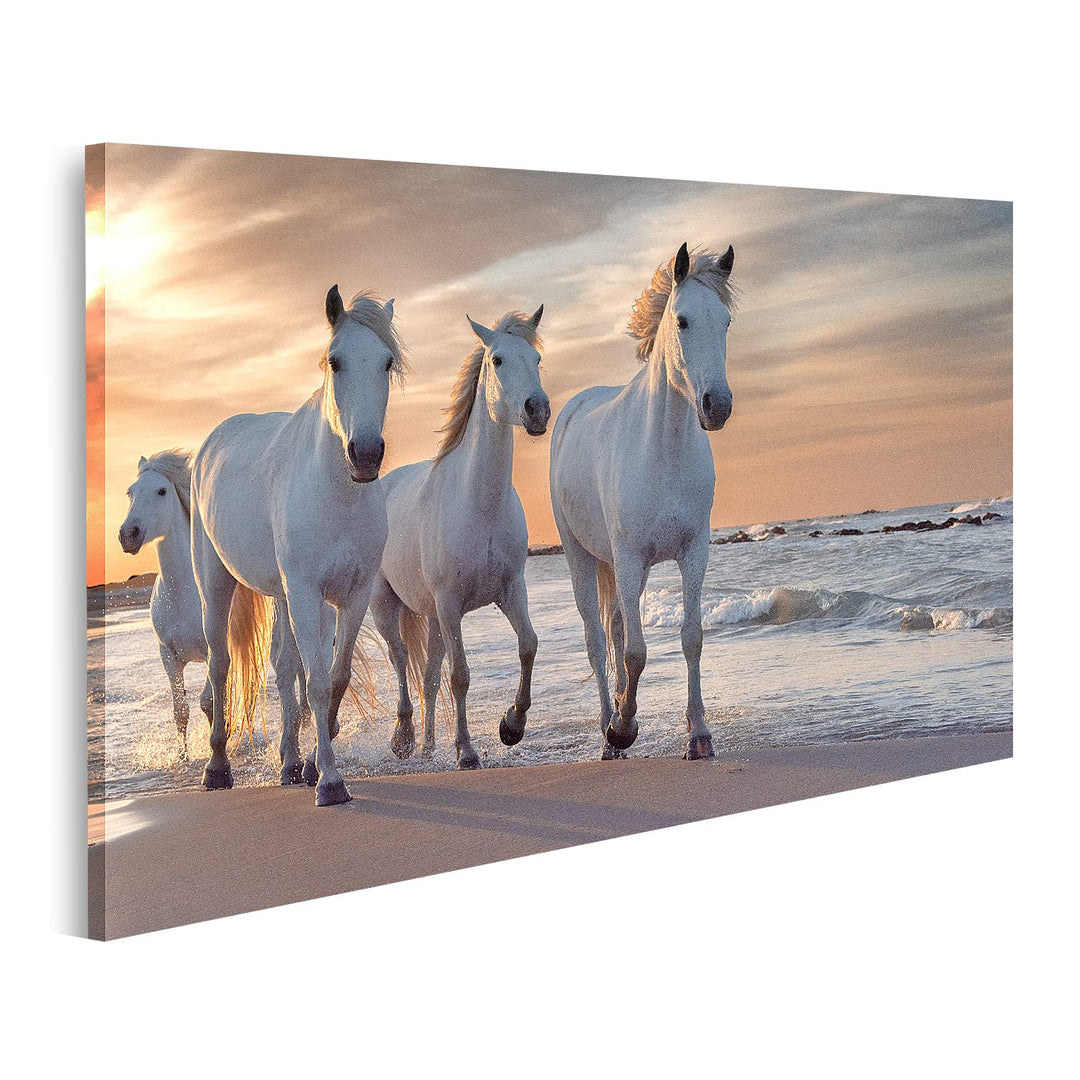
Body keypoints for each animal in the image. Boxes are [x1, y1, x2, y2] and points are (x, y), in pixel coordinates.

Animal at [118, 450, 311, 759]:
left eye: (161, 491)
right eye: (130, 492)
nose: (128, 535)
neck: (181, 595)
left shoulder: (213, 648)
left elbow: (208, 701)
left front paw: (220, 745)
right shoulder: (168, 656)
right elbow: (181, 711)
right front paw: (184, 756)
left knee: (296, 671)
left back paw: (301, 720)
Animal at [190, 286, 405, 805]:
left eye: (387, 362)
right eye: (335, 361)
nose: (365, 455)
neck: (336, 492)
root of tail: (210, 444)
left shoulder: (351, 595)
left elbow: (332, 678)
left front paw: (311, 766)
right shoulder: (308, 593)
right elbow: (318, 683)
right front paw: (329, 781)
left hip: (283, 596)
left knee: (285, 670)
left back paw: (288, 763)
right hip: (216, 584)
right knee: (220, 665)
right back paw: (217, 768)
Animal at [364, 307, 549, 769]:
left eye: (536, 360)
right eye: (497, 360)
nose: (537, 410)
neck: (478, 503)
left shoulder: (510, 590)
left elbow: (528, 646)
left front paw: (511, 726)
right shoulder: (450, 605)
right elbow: (460, 675)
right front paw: (466, 750)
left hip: (431, 617)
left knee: (428, 675)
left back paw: (429, 746)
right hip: (386, 604)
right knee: (400, 659)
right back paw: (404, 739)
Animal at [549, 242, 735, 760]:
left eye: (726, 322)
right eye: (683, 321)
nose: (718, 406)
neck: (663, 450)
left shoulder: (692, 553)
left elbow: (691, 638)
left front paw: (699, 735)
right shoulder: (630, 557)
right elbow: (634, 652)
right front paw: (623, 728)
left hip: (627, 566)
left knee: (614, 628)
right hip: (582, 557)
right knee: (597, 640)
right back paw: (608, 729)